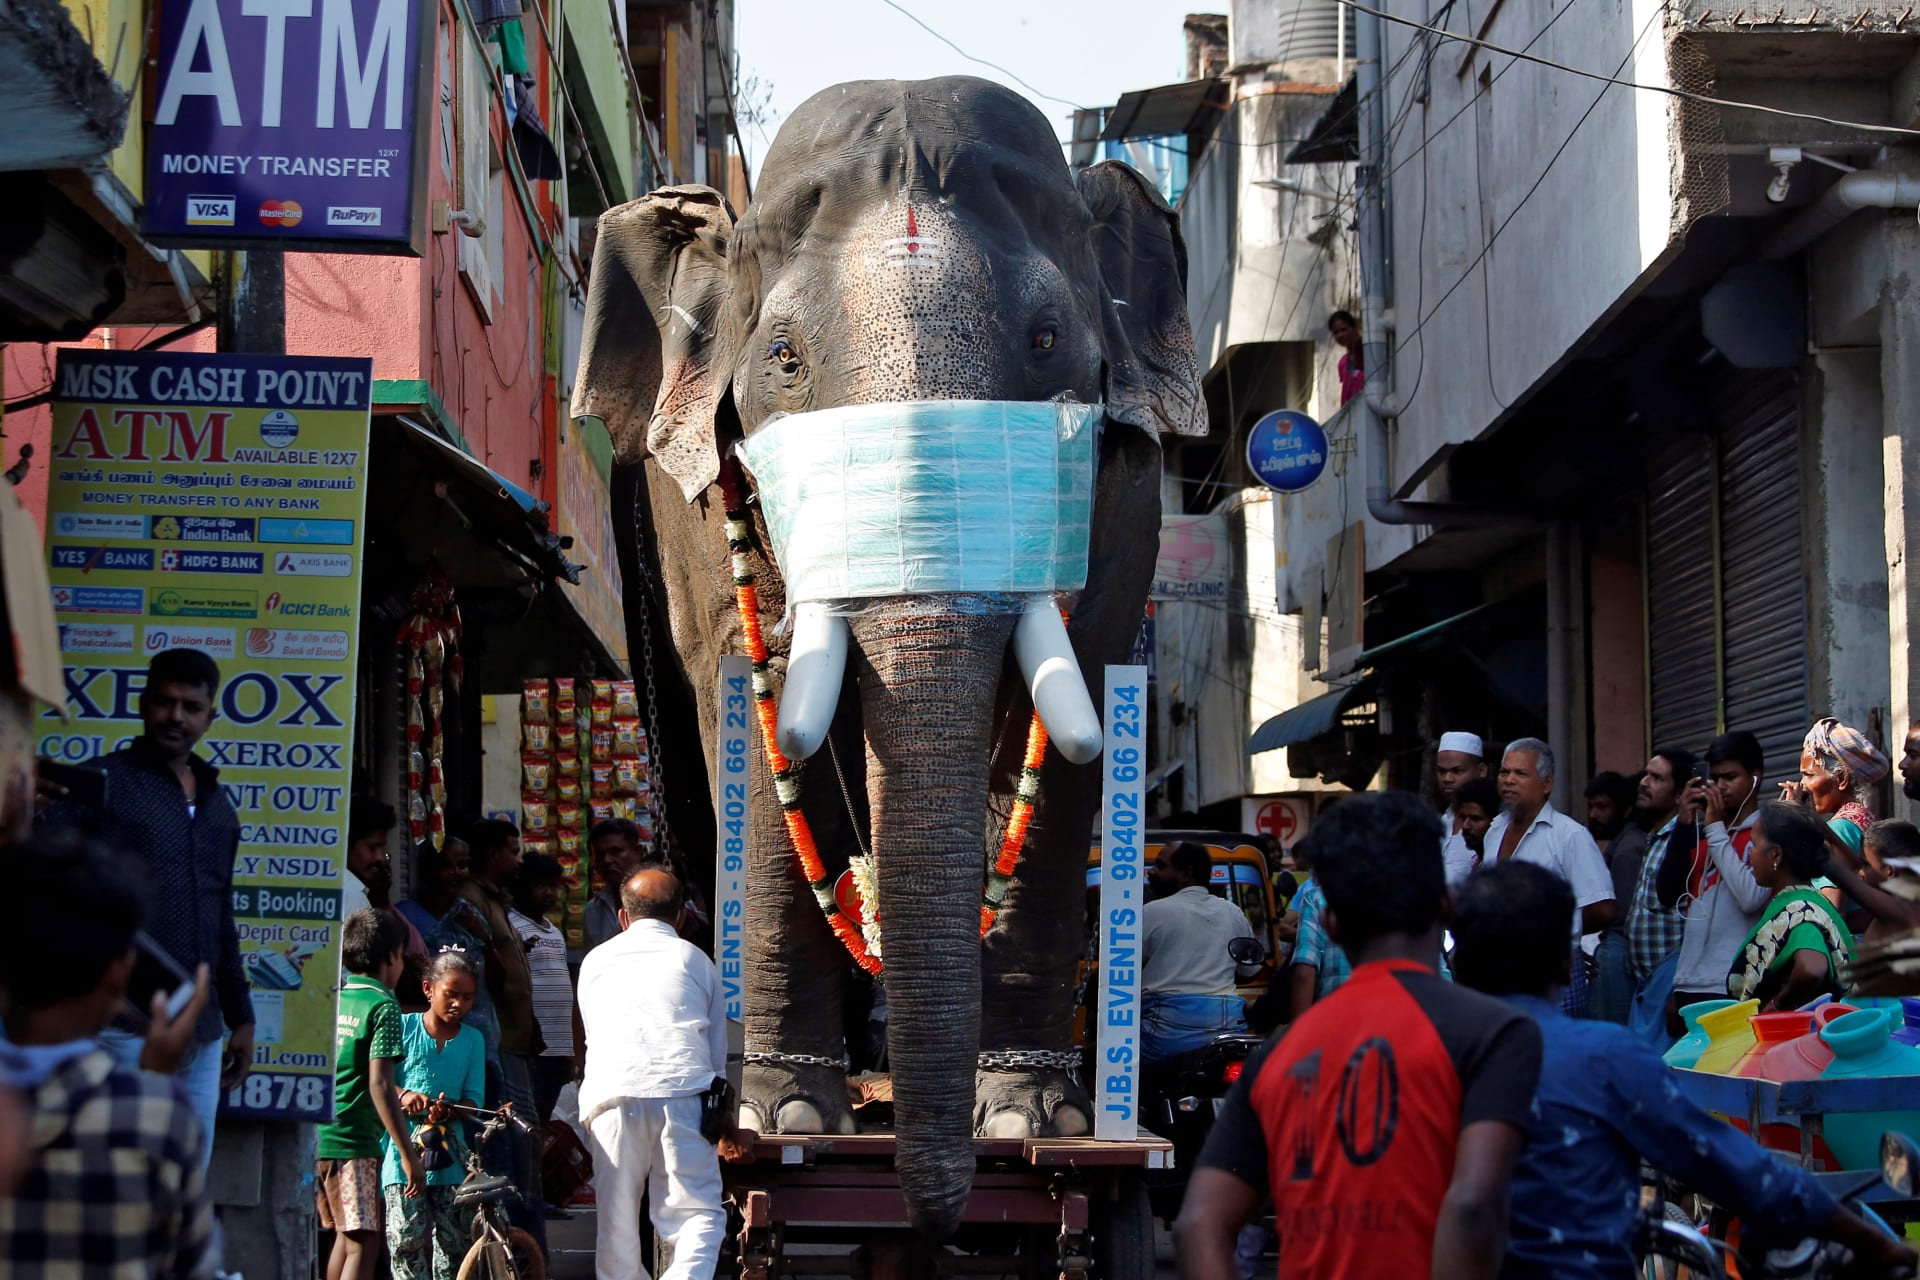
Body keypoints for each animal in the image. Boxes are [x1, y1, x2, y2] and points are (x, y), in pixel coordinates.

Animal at [571, 75, 1204, 1238]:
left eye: (1047, 339)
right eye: (783, 360)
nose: (938, 1218)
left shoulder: (1127, 498)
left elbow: (1069, 710)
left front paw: (1033, 1120)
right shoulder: (704, 526)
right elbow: (763, 710)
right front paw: (784, 1117)